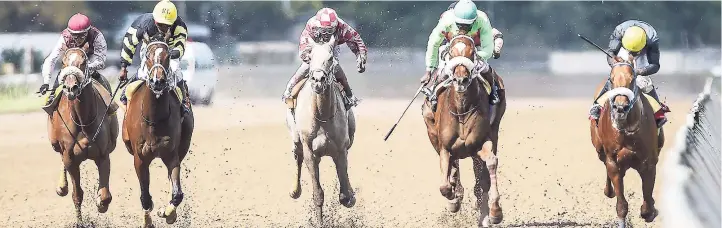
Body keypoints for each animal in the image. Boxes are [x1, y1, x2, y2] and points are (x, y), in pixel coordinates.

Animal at [45, 43, 119, 222]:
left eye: (83, 62)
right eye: (63, 63)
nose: (71, 88)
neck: (82, 120)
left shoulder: (103, 155)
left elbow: (105, 195)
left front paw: (100, 203)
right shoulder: (70, 158)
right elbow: (77, 194)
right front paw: (80, 222)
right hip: (57, 146)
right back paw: (62, 186)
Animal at [121, 40, 194, 226]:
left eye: (168, 56)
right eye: (148, 55)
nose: (157, 81)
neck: (153, 118)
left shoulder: (171, 155)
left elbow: (177, 193)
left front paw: (168, 213)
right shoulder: (140, 158)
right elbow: (145, 196)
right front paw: (148, 221)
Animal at [416, 34, 506, 227]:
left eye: (472, 53)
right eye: (450, 52)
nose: (460, 80)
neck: (461, 109)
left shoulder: (481, 142)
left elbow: (490, 165)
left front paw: (495, 212)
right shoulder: (444, 147)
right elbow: (444, 184)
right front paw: (453, 199)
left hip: (493, 131)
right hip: (432, 132)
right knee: (453, 166)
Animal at [592, 54, 660, 227]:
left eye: (632, 78)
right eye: (611, 78)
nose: (620, 107)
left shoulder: (648, 163)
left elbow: (648, 201)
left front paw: (650, 211)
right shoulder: (614, 162)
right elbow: (621, 205)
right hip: (599, 150)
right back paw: (608, 191)